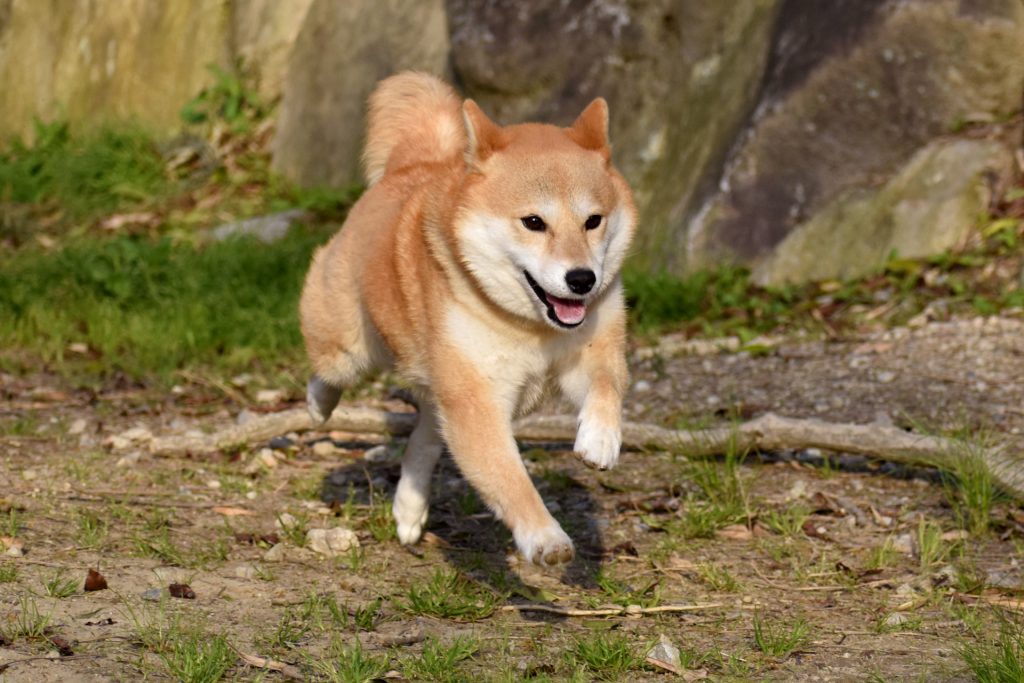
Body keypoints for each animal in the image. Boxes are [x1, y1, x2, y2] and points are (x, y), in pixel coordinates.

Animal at [299, 73, 630, 565]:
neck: (532, 327)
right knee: (329, 371)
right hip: (353, 347)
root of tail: (413, 163)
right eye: (533, 222)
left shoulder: (588, 353)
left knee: (424, 436)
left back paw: (410, 506)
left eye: (593, 221)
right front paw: (544, 537)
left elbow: (607, 385)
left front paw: (600, 441)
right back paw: (319, 404)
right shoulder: (478, 401)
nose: (582, 279)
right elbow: (512, 482)